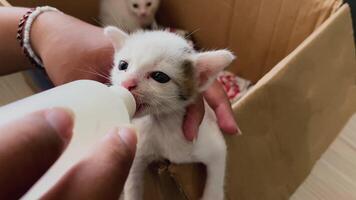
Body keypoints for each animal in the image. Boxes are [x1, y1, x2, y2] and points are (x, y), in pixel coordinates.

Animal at [104, 27, 235, 200]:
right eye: (122, 65)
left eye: (159, 76)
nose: (127, 83)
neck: (162, 124)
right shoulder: (139, 149)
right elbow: (132, 182)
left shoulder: (214, 146)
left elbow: (216, 176)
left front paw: (212, 195)